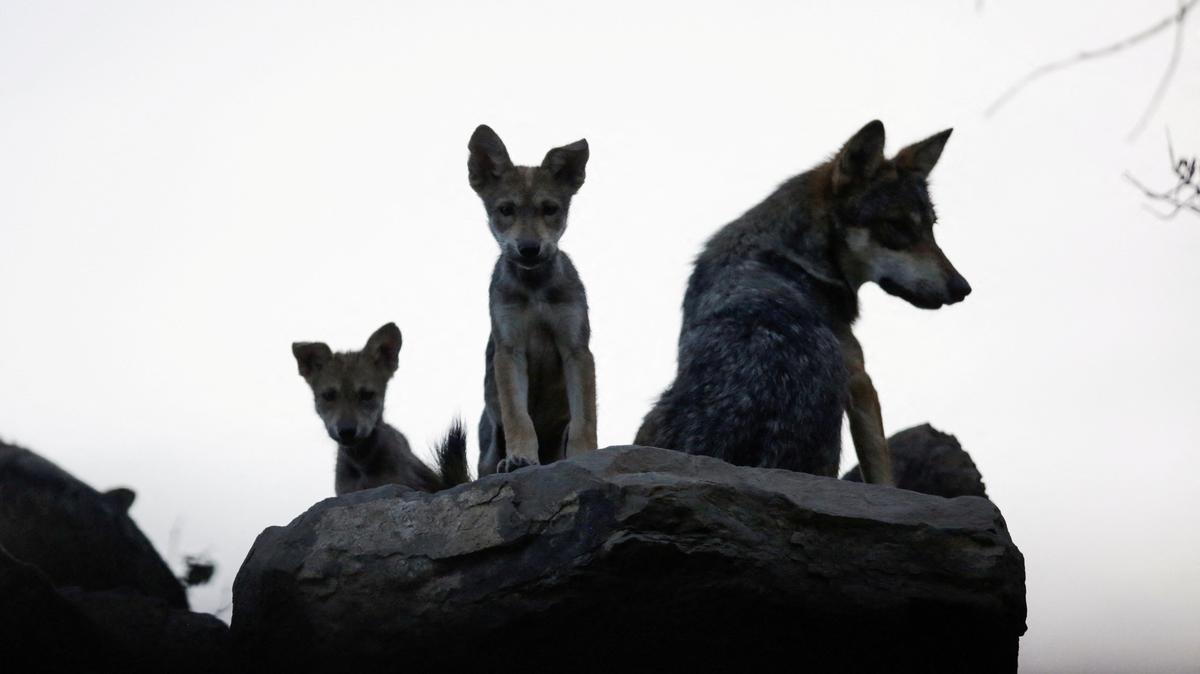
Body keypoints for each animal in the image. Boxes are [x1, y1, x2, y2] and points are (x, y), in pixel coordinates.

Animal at [468, 124, 598, 476]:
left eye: (550, 209)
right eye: (506, 210)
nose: (528, 249)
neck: (535, 289)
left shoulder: (576, 349)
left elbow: (584, 421)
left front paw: (584, 458)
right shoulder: (509, 349)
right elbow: (519, 417)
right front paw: (520, 458)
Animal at [635, 120, 970, 485]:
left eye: (931, 227)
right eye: (896, 226)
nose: (962, 288)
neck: (795, 255)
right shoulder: (860, 379)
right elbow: (883, 474)